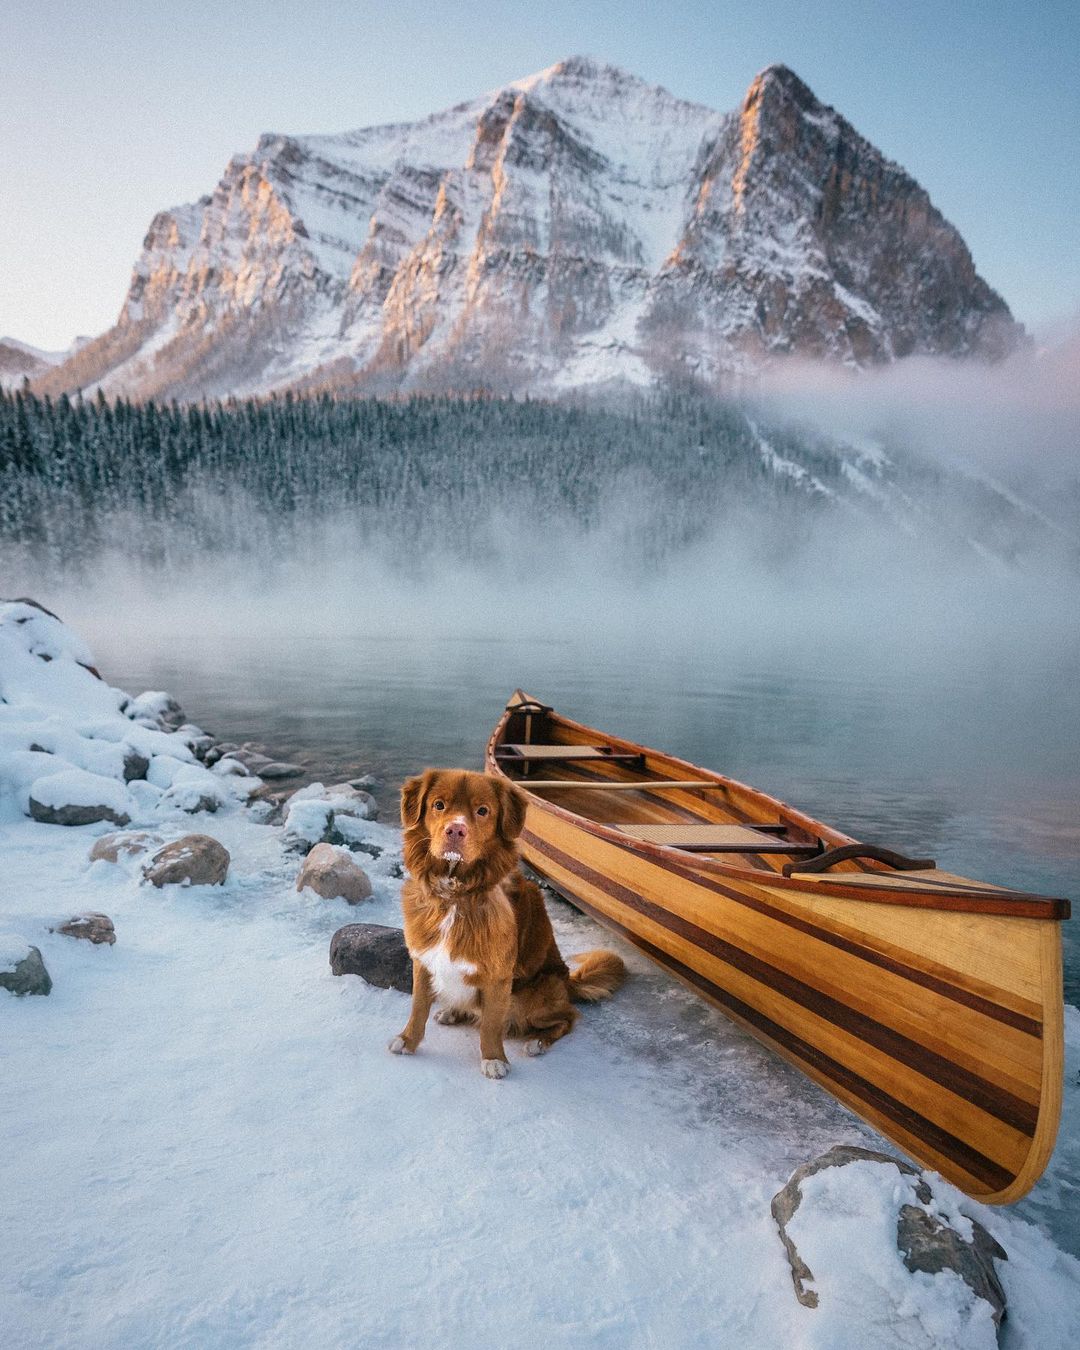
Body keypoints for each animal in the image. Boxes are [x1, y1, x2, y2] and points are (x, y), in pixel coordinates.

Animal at [388, 772, 623, 1074]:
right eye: (438, 805)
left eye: (482, 811)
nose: (455, 831)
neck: (456, 892)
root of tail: (568, 983)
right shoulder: (423, 960)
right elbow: (418, 1006)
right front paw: (408, 1040)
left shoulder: (499, 976)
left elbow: (490, 1024)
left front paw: (494, 1059)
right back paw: (452, 1012)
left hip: (530, 997)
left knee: (567, 1017)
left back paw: (537, 1042)